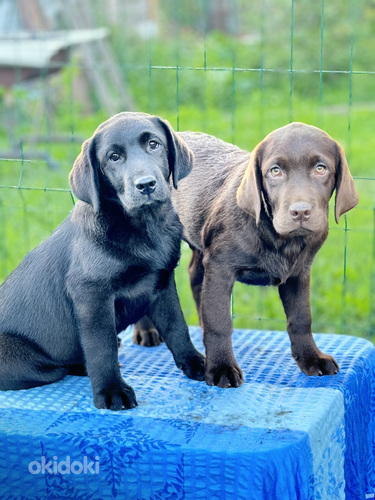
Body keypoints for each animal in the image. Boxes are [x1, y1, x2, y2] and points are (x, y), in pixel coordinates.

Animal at [0, 112, 206, 410]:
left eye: (154, 144)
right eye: (113, 157)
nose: (146, 185)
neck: (144, 227)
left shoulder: (162, 283)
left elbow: (177, 326)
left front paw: (197, 363)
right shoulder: (92, 295)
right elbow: (101, 345)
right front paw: (112, 390)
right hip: (27, 363)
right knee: (60, 367)